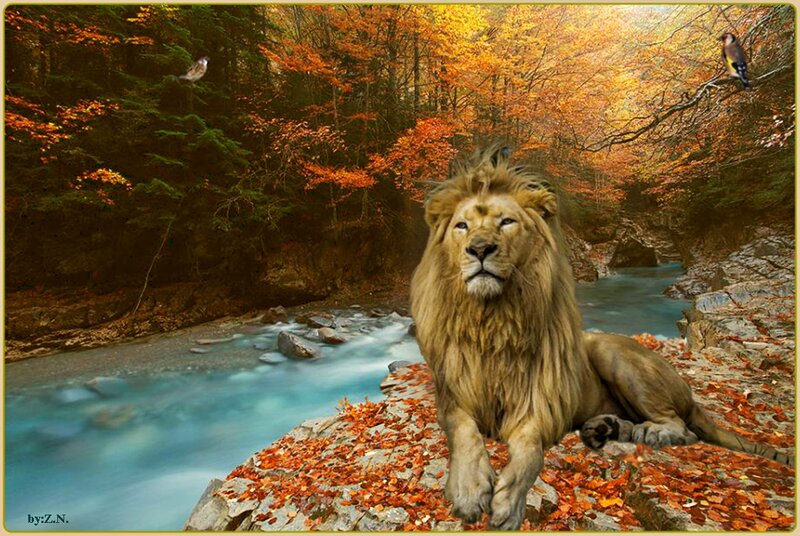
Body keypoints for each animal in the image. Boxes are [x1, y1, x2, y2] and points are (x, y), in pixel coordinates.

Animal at [409, 148, 793, 530]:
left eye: (506, 222)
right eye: (462, 226)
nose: (480, 249)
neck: (492, 319)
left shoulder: (539, 406)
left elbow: (529, 451)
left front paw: (507, 502)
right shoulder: (453, 396)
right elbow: (465, 434)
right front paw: (469, 489)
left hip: (612, 353)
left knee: (684, 429)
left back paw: (648, 433)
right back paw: (604, 429)